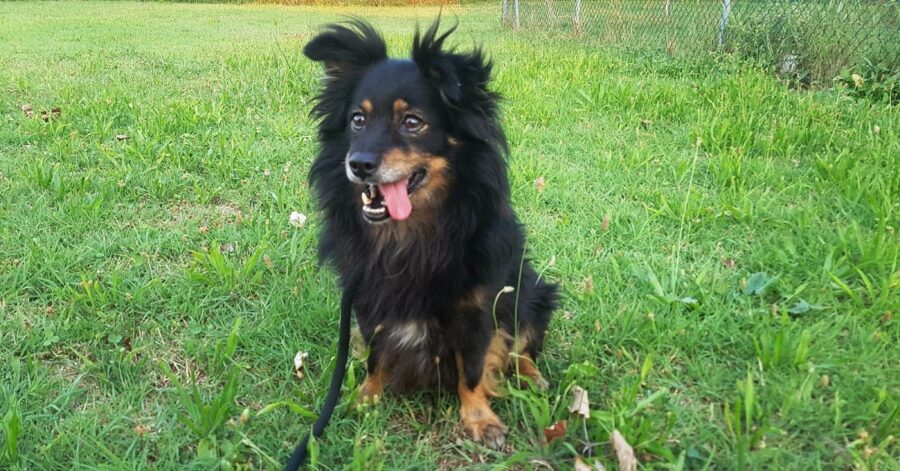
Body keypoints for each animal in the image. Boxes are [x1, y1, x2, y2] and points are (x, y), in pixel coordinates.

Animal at [302, 19, 556, 450]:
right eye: (357, 120)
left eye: (412, 122)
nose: (359, 164)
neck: (411, 235)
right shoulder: (368, 299)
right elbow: (375, 355)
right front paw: (367, 396)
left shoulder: (477, 309)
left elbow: (472, 370)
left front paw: (479, 419)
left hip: (533, 290)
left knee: (523, 343)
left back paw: (532, 376)